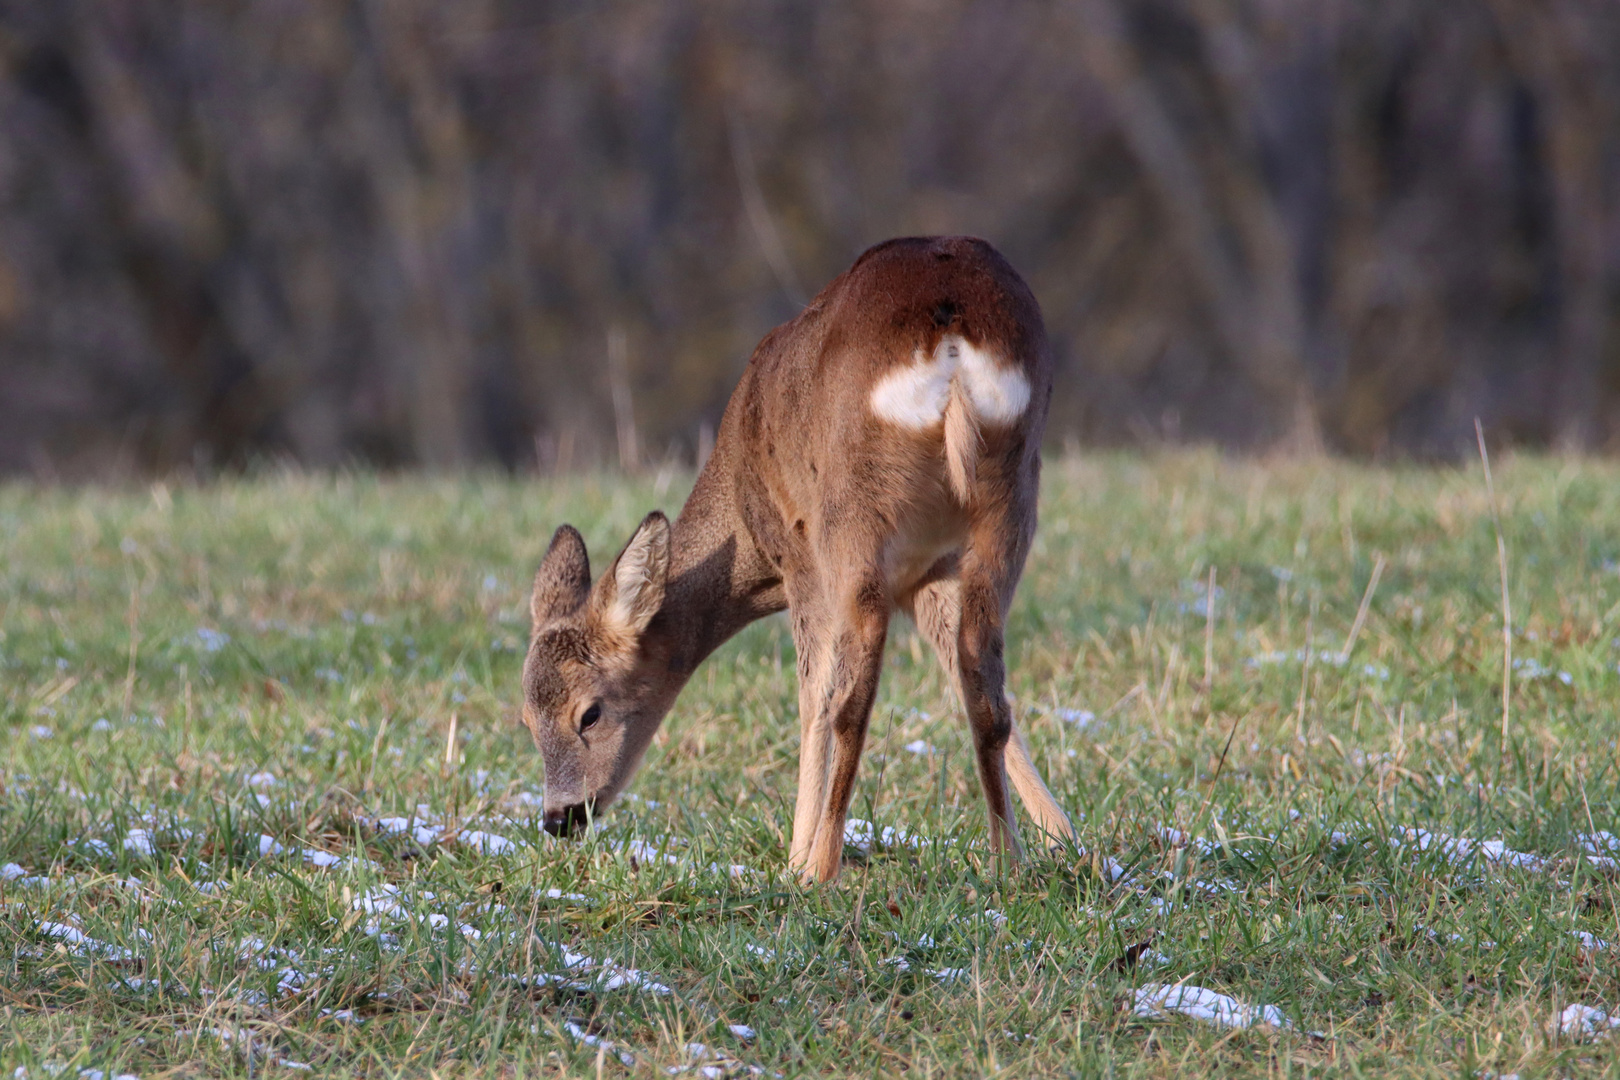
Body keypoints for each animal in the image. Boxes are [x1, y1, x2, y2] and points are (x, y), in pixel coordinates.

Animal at [521, 234, 1075, 880]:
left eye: (589, 713)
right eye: (526, 719)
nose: (559, 818)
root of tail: (951, 332)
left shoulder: (799, 558)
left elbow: (815, 697)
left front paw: (794, 856)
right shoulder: (926, 572)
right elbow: (961, 671)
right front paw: (1063, 838)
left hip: (850, 511)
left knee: (853, 692)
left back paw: (820, 866)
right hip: (1011, 491)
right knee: (984, 674)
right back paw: (1008, 862)